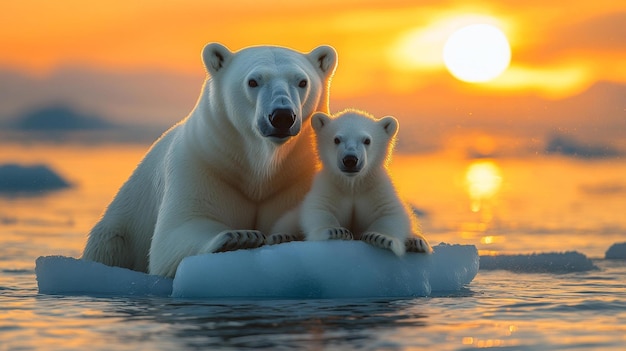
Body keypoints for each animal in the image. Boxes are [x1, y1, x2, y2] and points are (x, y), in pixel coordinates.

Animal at [84, 43, 336, 278]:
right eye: (253, 81)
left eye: (302, 82)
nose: (282, 116)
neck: (259, 169)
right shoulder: (201, 164)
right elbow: (179, 229)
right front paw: (239, 237)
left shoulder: (296, 178)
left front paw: (282, 236)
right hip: (117, 231)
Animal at [270, 110, 432, 256]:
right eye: (336, 139)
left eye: (367, 140)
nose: (350, 160)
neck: (352, 183)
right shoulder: (331, 185)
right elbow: (319, 209)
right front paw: (336, 231)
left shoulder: (375, 186)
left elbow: (391, 212)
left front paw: (380, 237)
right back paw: (281, 236)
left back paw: (416, 242)